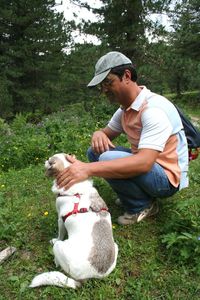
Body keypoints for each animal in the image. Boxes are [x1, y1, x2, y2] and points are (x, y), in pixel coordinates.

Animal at [29, 152, 117, 288]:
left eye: (50, 160)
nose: (45, 160)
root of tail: (89, 276)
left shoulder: (60, 220)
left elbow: (60, 234)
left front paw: (56, 238)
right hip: (116, 246)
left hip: (59, 247)